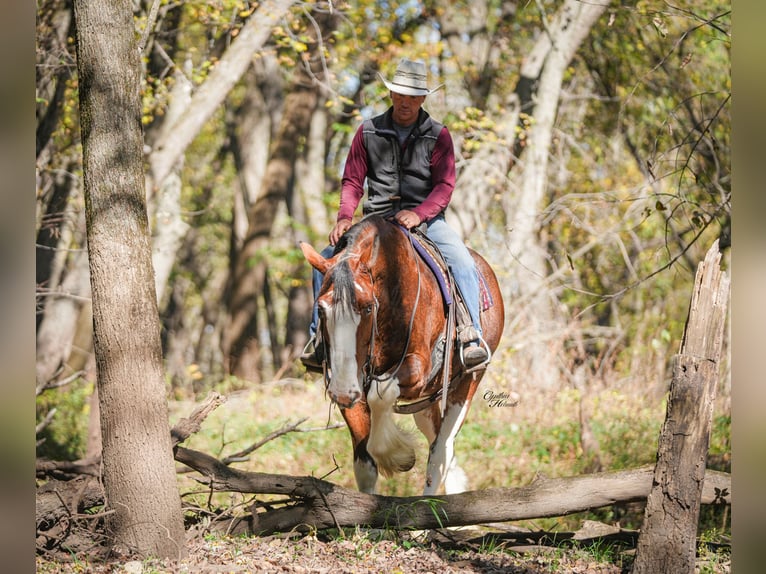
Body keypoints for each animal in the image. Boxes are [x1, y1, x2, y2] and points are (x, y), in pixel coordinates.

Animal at [300, 215, 504, 495]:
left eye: (367, 308)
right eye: (320, 309)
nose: (343, 390)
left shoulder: (417, 371)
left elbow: (380, 395)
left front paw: (395, 454)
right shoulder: (347, 386)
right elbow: (364, 466)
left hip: (465, 385)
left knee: (440, 452)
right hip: (426, 405)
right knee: (439, 445)